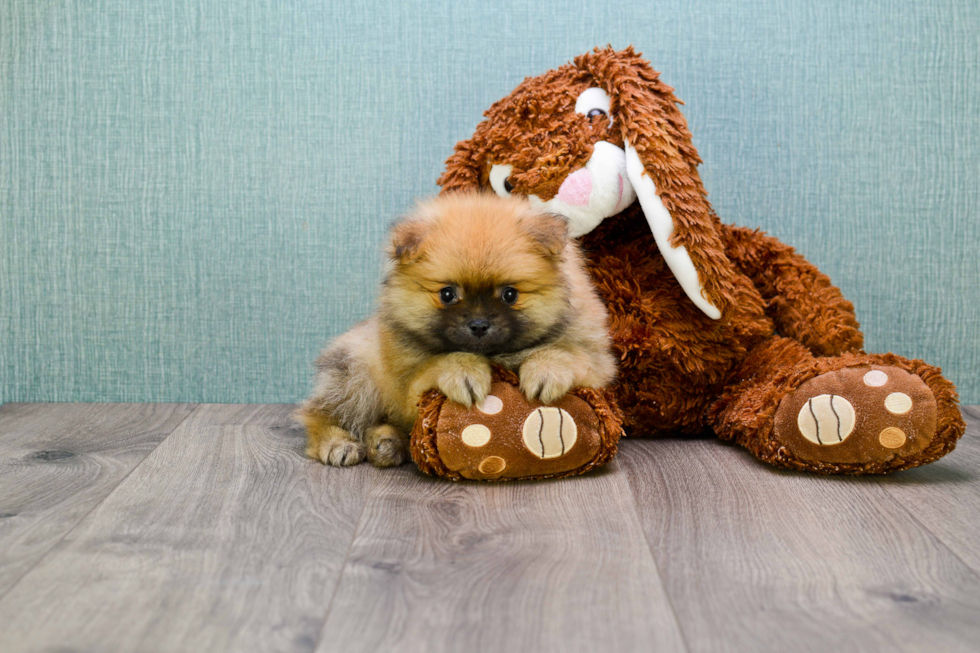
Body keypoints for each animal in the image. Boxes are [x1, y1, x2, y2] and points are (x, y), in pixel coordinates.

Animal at [294, 191, 616, 466]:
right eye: (447, 294)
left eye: (510, 294)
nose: (479, 324)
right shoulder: (407, 389)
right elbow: (440, 362)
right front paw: (464, 372)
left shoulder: (598, 364)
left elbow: (567, 353)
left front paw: (546, 369)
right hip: (356, 370)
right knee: (319, 414)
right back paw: (340, 444)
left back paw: (384, 443)